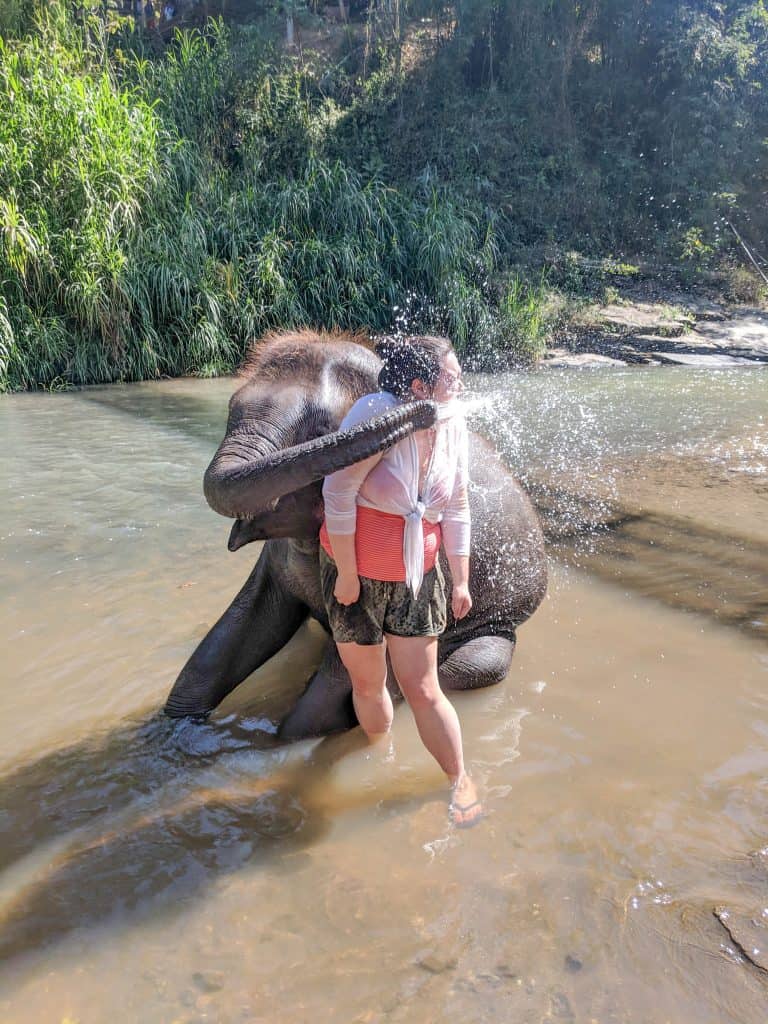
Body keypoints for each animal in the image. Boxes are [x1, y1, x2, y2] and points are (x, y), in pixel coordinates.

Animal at [164, 330, 548, 739]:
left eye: (318, 432)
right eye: (230, 411)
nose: (429, 411)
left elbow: (328, 697)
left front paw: (280, 743)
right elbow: (239, 627)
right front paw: (175, 732)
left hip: (499, 621)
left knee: (465, 668)